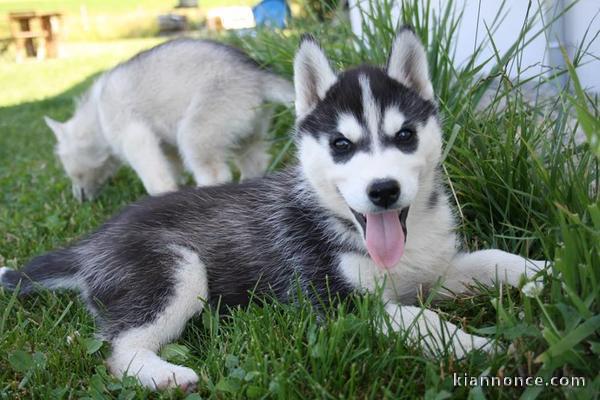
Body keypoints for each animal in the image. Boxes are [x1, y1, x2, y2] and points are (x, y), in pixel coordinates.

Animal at [44, 39, 292, 202]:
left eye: (70, 171)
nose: (78, 198)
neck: (97, 115)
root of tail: (257, 73)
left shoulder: (134, 137)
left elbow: (156, 179)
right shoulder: (165, 145)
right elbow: (171, 168)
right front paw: (175, 188)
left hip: (196, 132)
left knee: (215, 174)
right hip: (249, 133)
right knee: (255, 162)